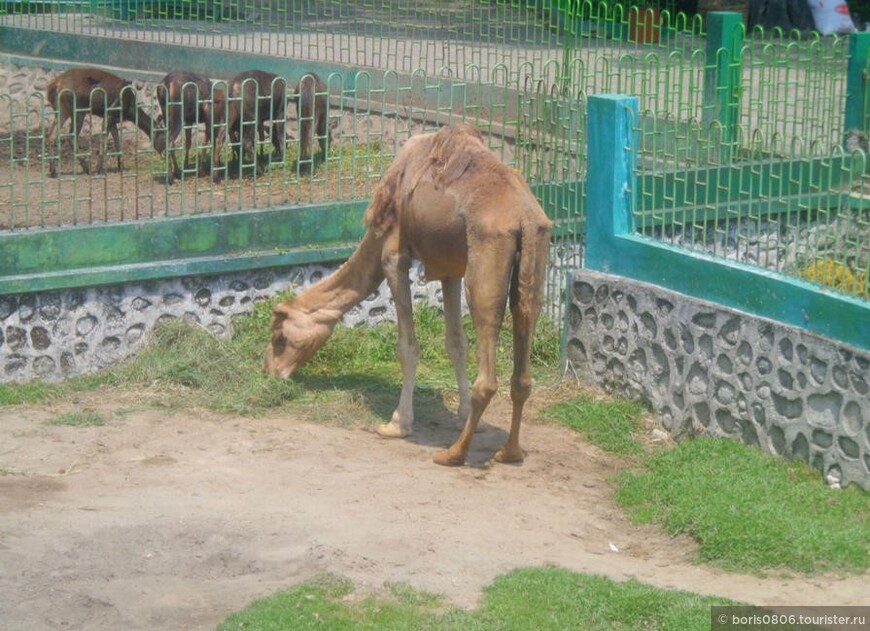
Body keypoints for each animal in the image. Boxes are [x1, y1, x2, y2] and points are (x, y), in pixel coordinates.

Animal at [262, 124, 556, 470]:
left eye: (280, 338)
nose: (270, 371)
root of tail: (524, 218)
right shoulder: (450, 268)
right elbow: (456, 343)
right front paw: (464, 416)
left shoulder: (393, 256)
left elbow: (407, 346)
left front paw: (397, 423)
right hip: (534, 263)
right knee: (522, 363)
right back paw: (509, 452)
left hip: (486, 261)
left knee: (488, 365)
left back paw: (453, 454)